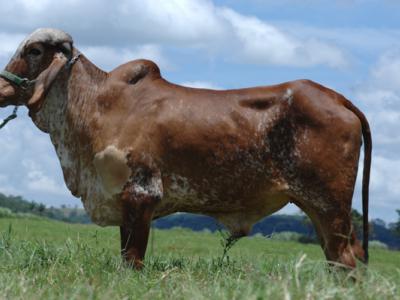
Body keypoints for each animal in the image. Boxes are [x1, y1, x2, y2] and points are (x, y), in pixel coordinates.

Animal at [0, 27, 372, 268]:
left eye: (33, 51)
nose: (1, 88)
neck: (97, 105)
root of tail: (334, 97)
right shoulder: (125, 202)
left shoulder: (141, 194)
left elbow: (132, 261)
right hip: (322, 210)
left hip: (330, 205)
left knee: (346, 260)